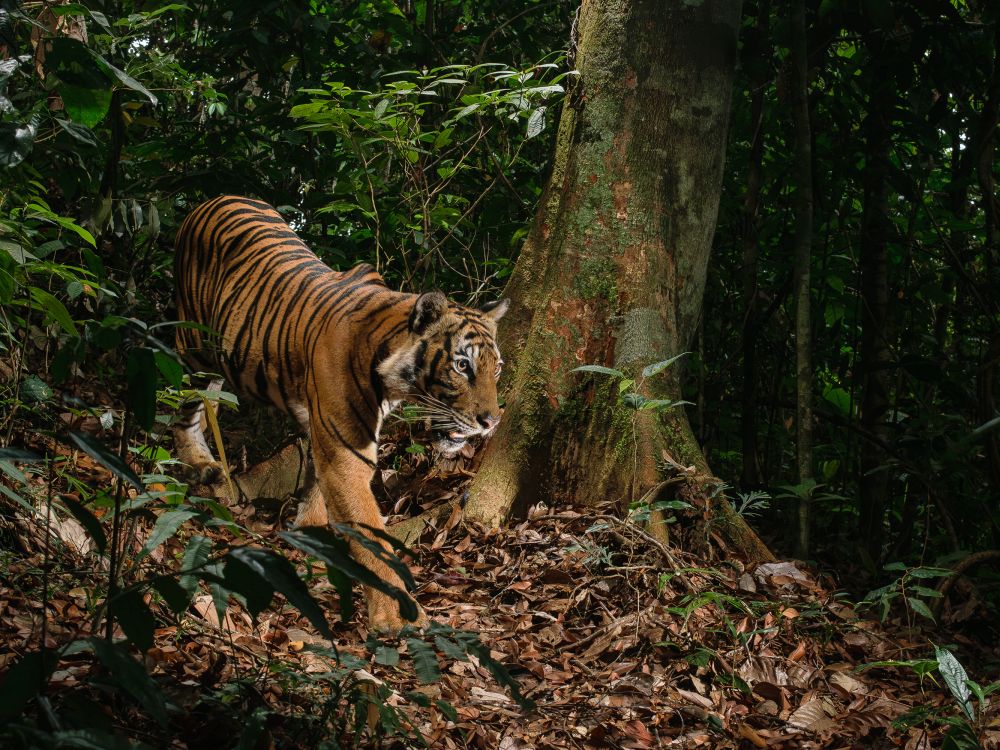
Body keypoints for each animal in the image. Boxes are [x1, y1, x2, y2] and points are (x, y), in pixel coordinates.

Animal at [172, 195, 507, 632]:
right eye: (462, 365)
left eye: (495, 369)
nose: (492, 422)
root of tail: (215, 198)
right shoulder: (346, 453)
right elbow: (371, 535)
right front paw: (397, 615)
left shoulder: (324, 430)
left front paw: (310, 538)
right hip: (193, 345)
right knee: (179, 397)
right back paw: (197, 461)